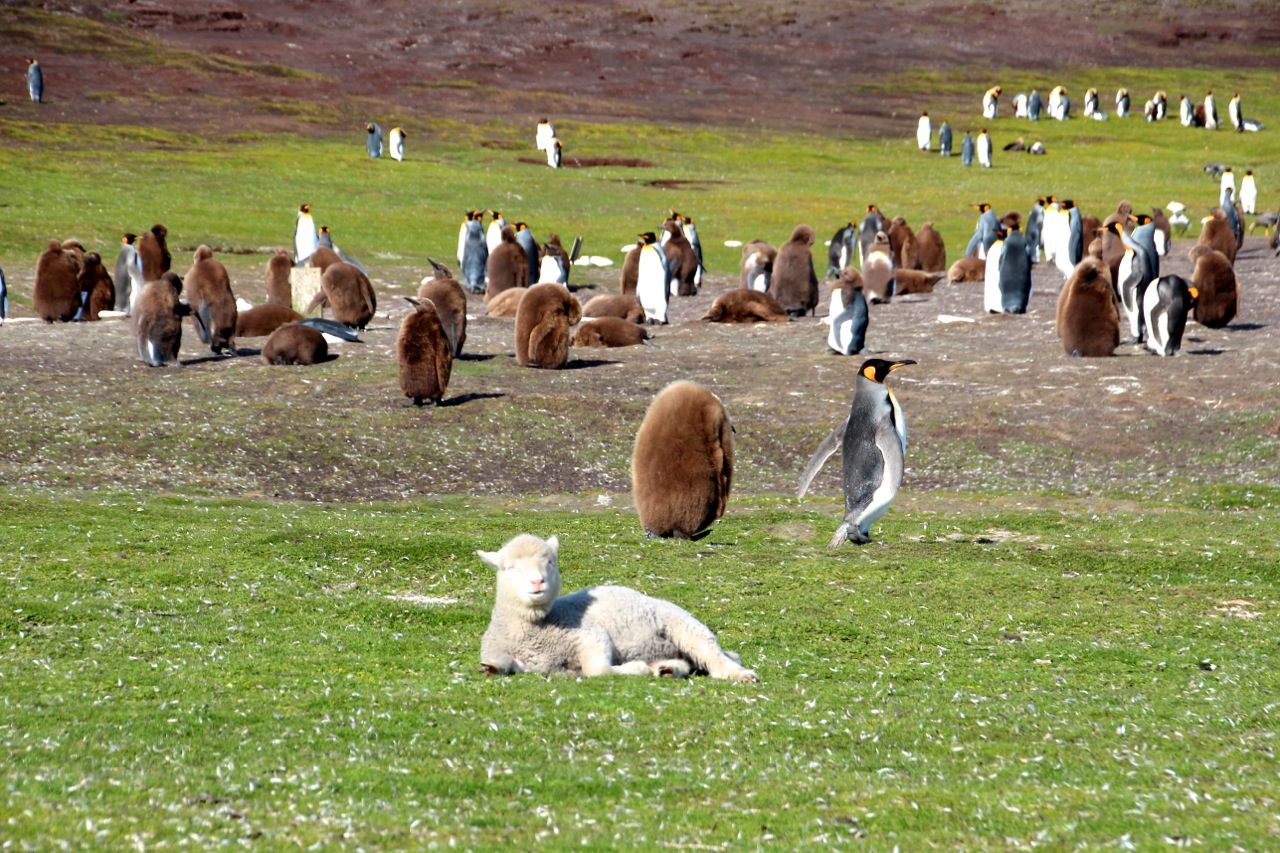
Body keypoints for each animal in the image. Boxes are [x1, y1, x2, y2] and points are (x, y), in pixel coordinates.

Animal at [481, 532, 757, 676]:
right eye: (509, 567)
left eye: (550, 562)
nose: (538, 581)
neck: (536, 628)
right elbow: (508, 664)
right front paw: (492, 667)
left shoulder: (590, 634)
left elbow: (599, 670)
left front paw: (633, 668)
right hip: (670, 647)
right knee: (686, 662)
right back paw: (667, 668)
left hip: (685, 625)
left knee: (713, 656)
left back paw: (740, 674)